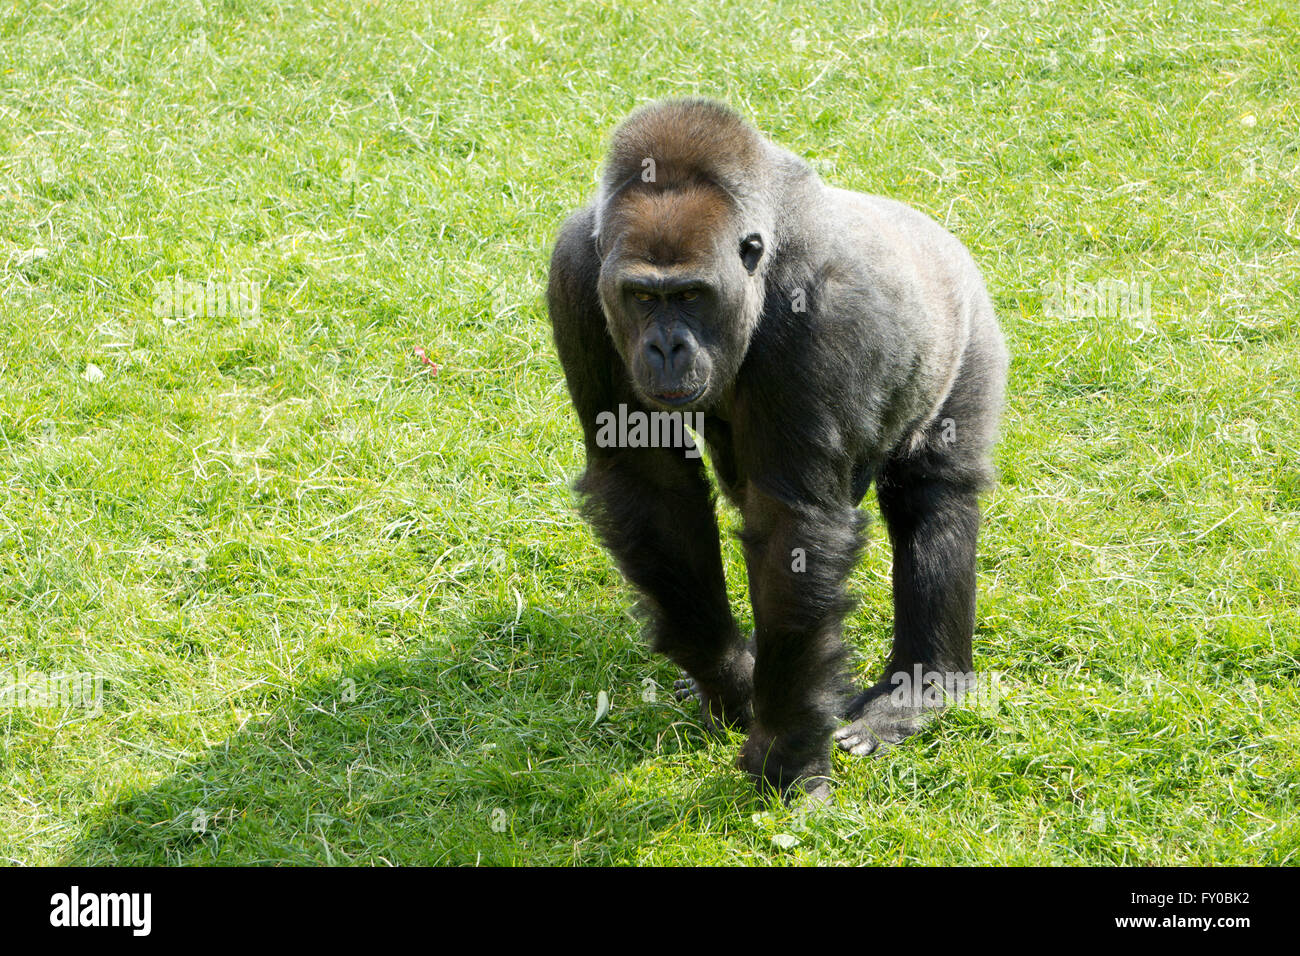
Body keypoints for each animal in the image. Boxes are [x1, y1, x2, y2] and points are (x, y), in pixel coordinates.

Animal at [547, 98, 1007, 797]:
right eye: (643, 297)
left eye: (690, 295)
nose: (665, 347)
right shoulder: (576, 272)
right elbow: (648, 483)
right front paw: (732, 678)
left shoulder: (824, 310)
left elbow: (795, 524)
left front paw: (786, 749)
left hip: (968, 330)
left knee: (934, 499)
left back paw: (921, 689)